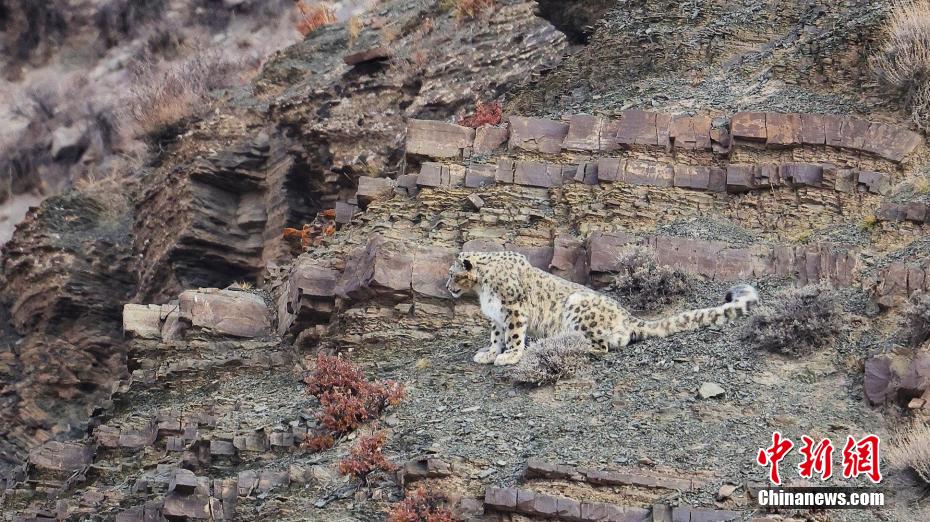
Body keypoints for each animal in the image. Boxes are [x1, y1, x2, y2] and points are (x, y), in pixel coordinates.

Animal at [446, 250, 759, 366]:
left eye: (452, 273)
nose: (447, 287)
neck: (483, 288)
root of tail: (627, 315)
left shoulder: (513, 309)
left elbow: (512, 335)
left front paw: (509, 356)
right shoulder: (496, 316)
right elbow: (496, 336)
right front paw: (489, 353)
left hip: (578, 307)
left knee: (602, 346)